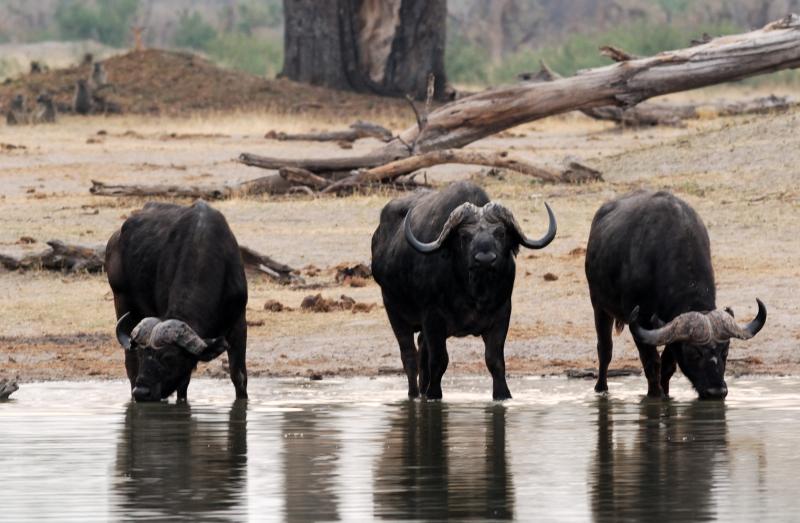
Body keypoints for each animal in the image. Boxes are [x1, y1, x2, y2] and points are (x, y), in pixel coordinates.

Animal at [106, 201, 248, 402]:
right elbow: (183, 384)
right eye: (142, 354)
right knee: (130, 365)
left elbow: (239, 376)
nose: (141, 392)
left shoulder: (239, 322)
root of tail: (116, 238)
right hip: (120, 298)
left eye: (168, 357)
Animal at [371, 181, 556, 400]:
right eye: (464, 236)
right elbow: (439, 360)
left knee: (421, 352)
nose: (485, 259)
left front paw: (503, 395)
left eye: (500, 233)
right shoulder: (432, 318)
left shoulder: (502, 315)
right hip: (393, 310)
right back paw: (415, 394)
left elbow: (495, 361)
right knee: (409, 356)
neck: (473, 293)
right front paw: (434, 395)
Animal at [585, 190, 766, 399]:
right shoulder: (638, 323)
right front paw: (655, 395)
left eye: (726, 351)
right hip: (598, 305)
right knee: (605, 350)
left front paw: (667, 395)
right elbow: (652, 363)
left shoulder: (670, 329)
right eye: (693, 353)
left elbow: (668, 365)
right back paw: (601, 389)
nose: (716, 391)